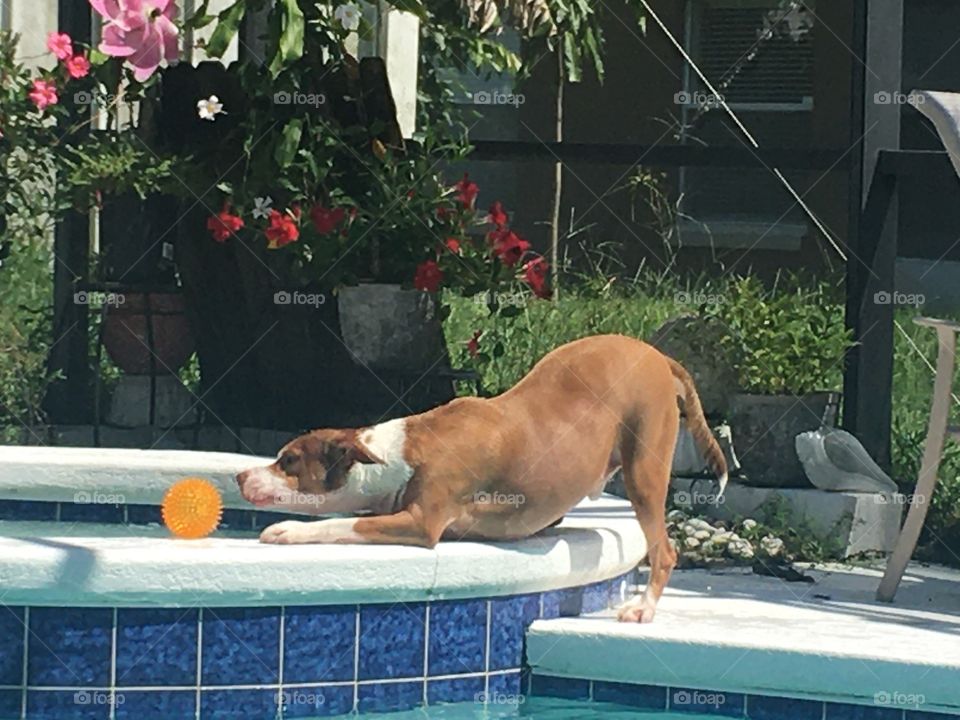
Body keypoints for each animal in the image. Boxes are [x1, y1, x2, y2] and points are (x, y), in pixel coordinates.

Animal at [236, 334, 726, 622]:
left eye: (287, 461)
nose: (240, 474)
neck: (397, 453)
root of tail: (657, 355)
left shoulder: (421, 522)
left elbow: (342, 522)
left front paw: (286, 530)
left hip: (645, 469)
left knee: (664, 550)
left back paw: (643, 608)